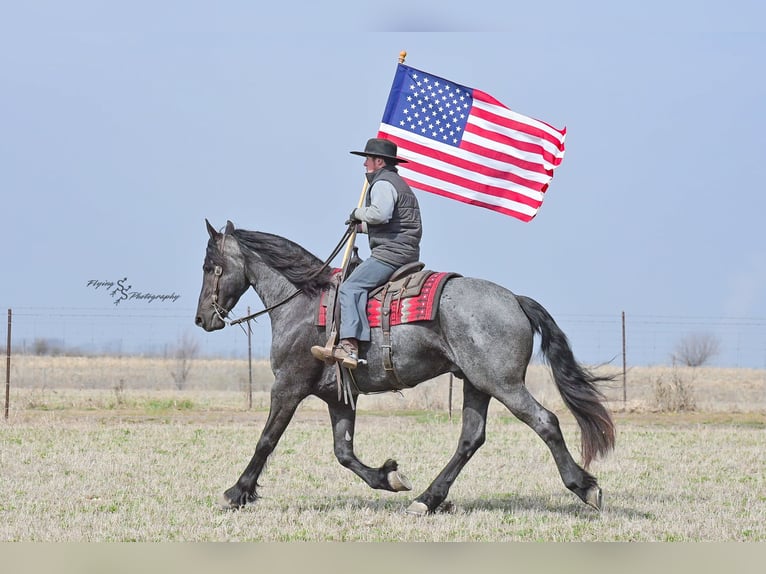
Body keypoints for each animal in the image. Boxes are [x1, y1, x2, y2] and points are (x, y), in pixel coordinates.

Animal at [195, 220, 615, 515]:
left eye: (211, 266)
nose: (202, 319)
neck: (303, 303)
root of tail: (513, 298)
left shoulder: (287, 387)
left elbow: (266, 440)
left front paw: (236, 492)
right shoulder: (338, 398)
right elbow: (343, 452)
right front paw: (389, 477)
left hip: (503, 384)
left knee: (545, 422)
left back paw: (585, 487)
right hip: (476, 384)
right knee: (470, 438)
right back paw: (428, 499)